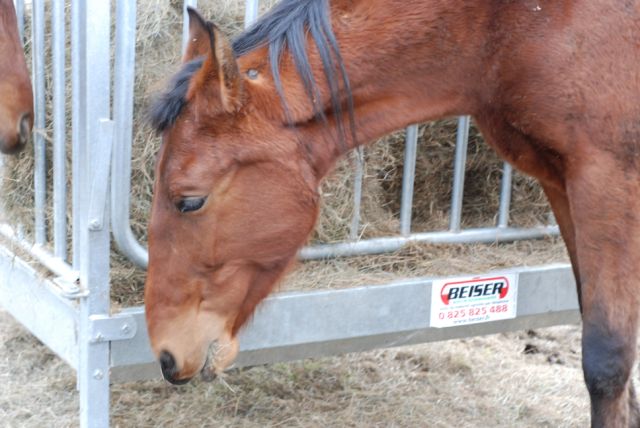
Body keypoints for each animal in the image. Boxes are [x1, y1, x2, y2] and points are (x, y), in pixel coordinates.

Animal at [146, 1, 640, 424]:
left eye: (189, 200)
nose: (167, 356)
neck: (506, 27)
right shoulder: (560, 182)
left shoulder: (606, 179)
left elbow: (607, 358)